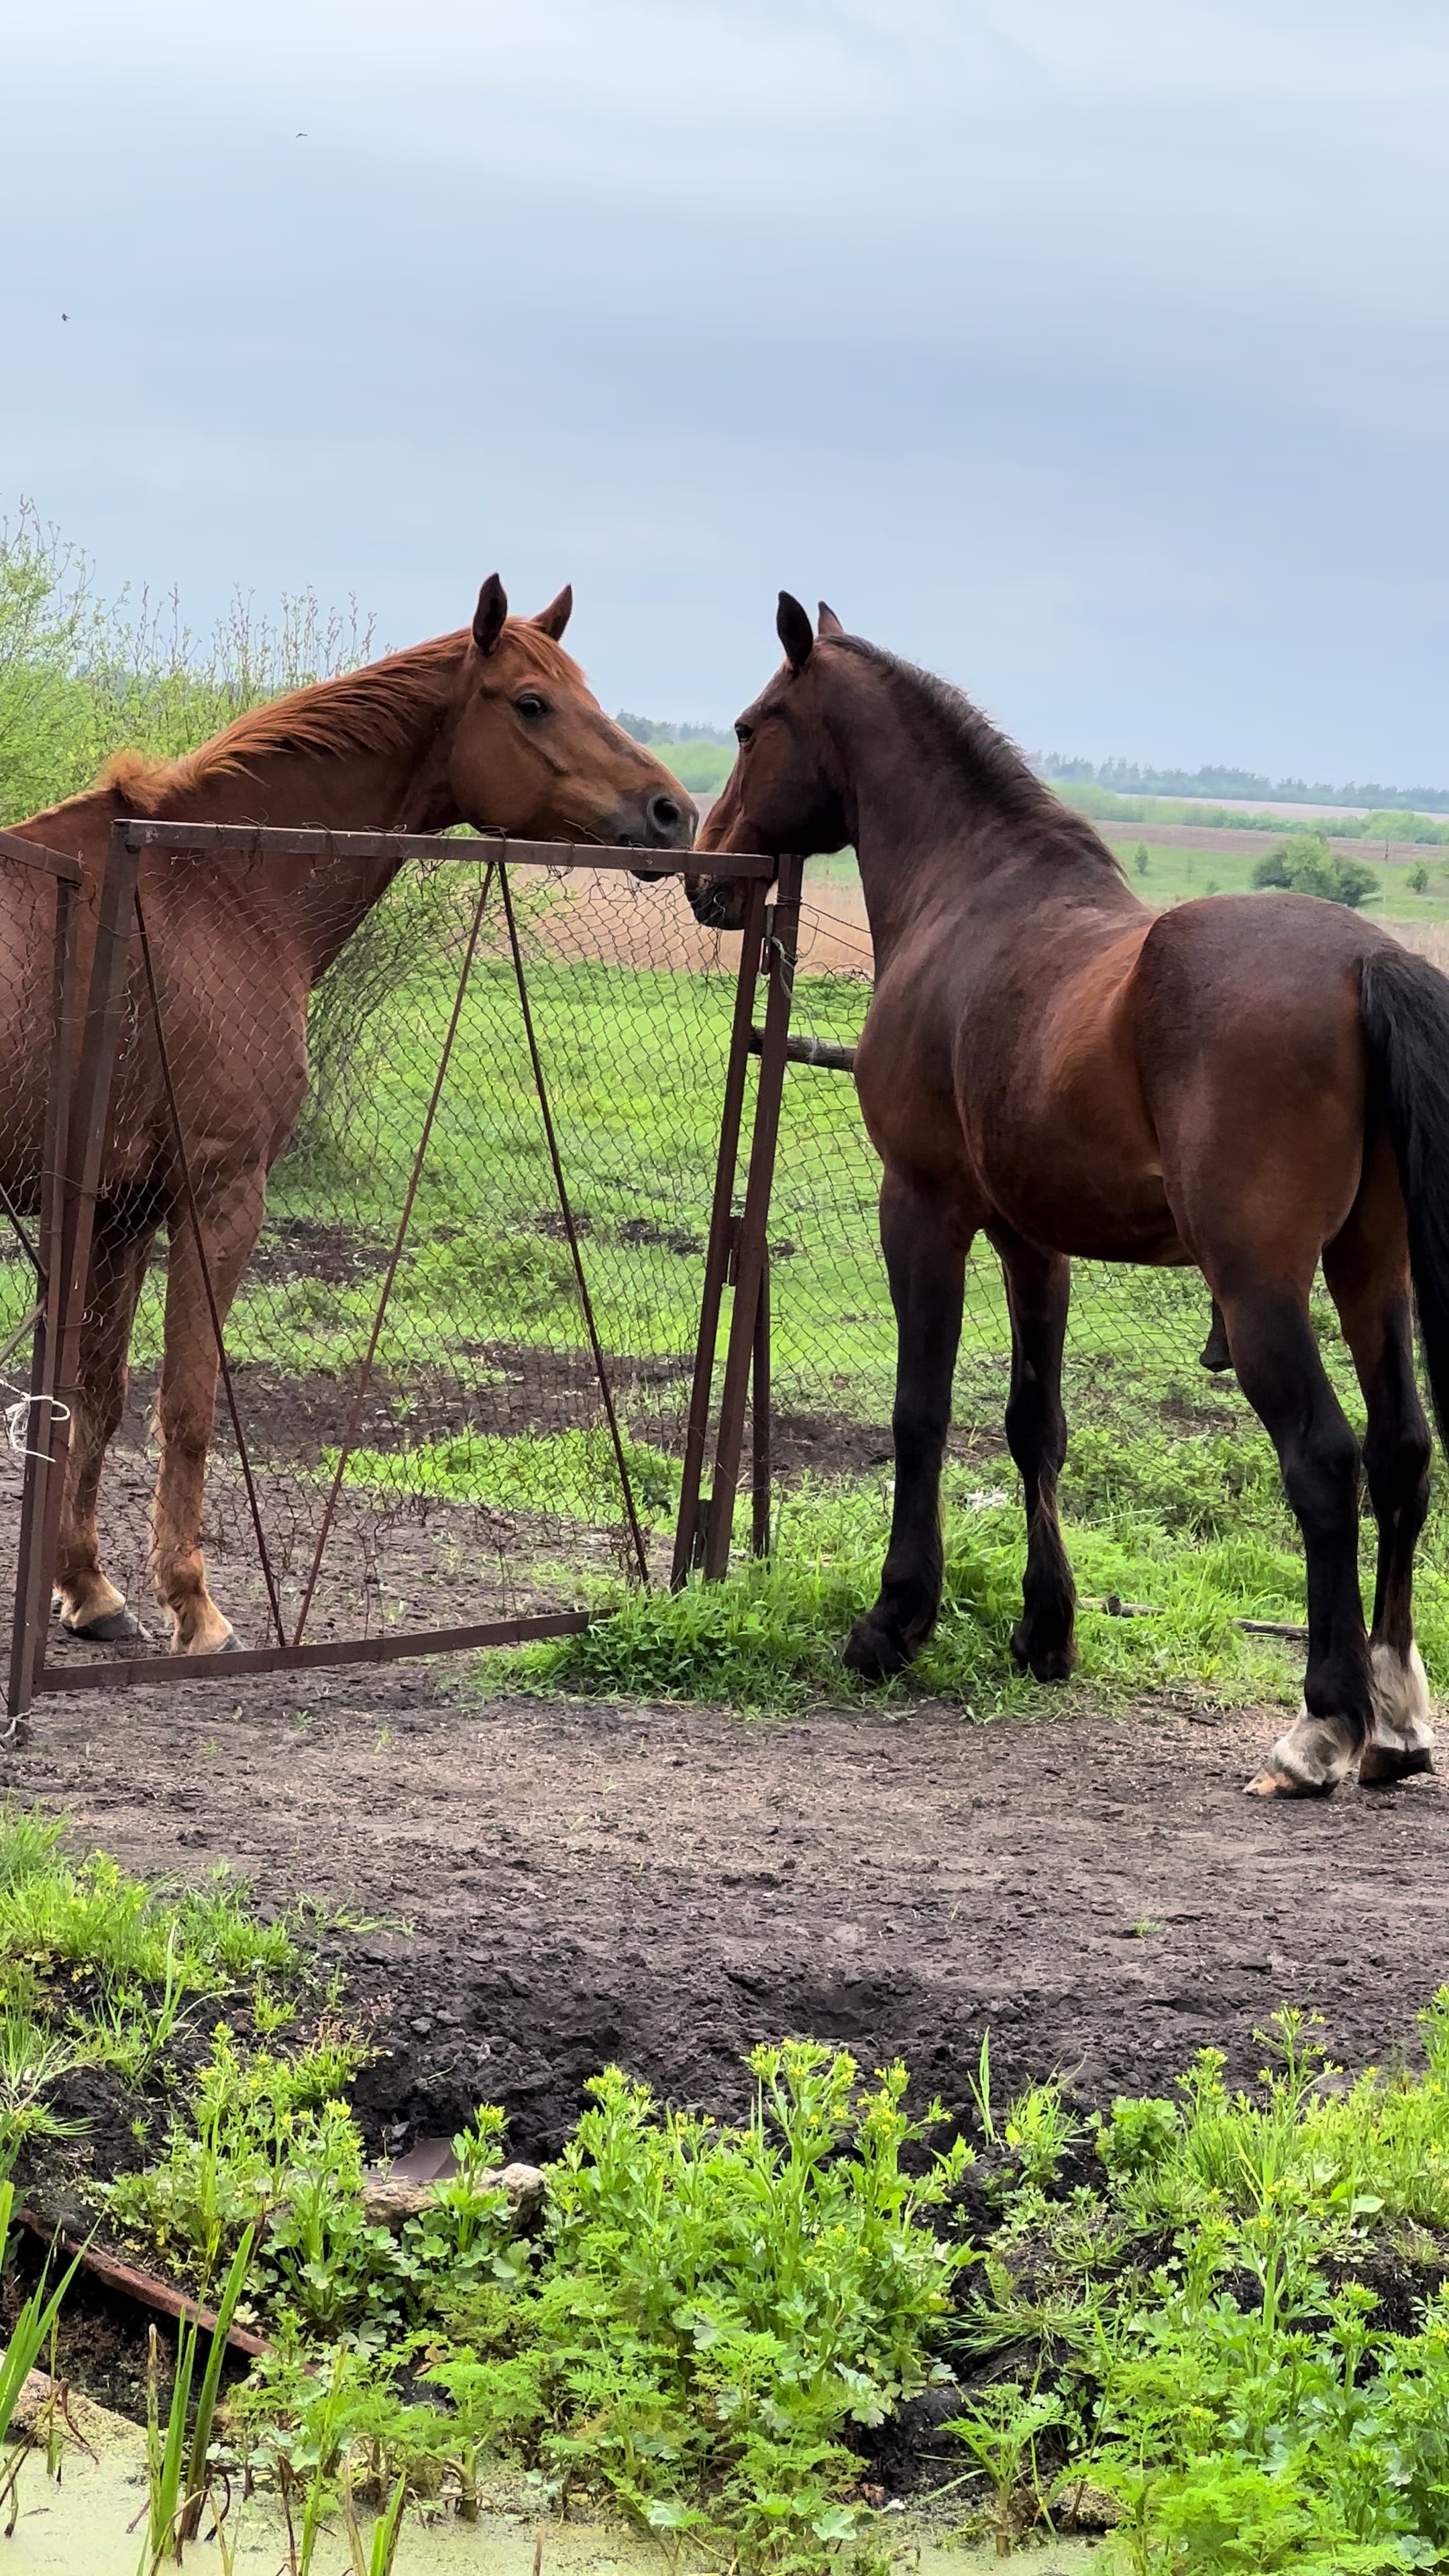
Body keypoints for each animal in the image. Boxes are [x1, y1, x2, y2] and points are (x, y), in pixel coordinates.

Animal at [4, 574, 694, 1655]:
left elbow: (97, 1398)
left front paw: (92, 1590)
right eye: (532, 702)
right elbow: (188, 1407)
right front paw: (194, 1606)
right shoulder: (219, 1198)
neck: (219, 889)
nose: (674, 812)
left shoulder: (122, 1210)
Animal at [687, 592, 1449, 1800]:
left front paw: (894, 1622)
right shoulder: (1033, 1243)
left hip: (1263, 1285)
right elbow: (1034, 1426)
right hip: (1370, 1270)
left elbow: (920, 1410)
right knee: (1402, 1456)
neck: (972, 897)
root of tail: (1363, 963)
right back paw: (1399, 1721)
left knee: (1326, 1463)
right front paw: (1047, 1631)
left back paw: (1324, 1726)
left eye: (752, 727)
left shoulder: (925, 1212)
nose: (705, 873)